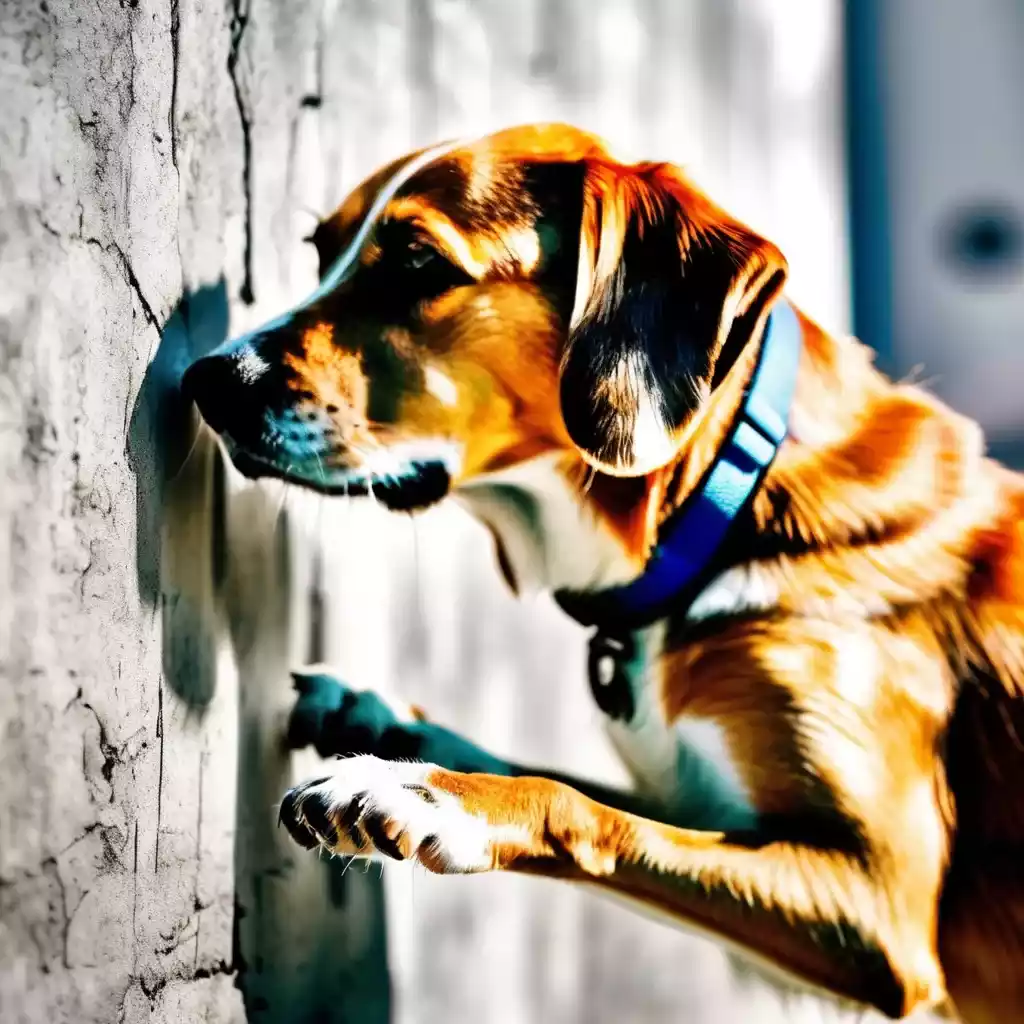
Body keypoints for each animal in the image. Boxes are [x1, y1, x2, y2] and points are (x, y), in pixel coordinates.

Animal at [184, 123, 1024, 1019]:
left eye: (418, 262)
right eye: (321, 253)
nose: (208, 378)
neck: (726, 507)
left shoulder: (876, 907)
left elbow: (577, 804)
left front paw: (430, 794)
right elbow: (554, 772)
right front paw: (387, 725)